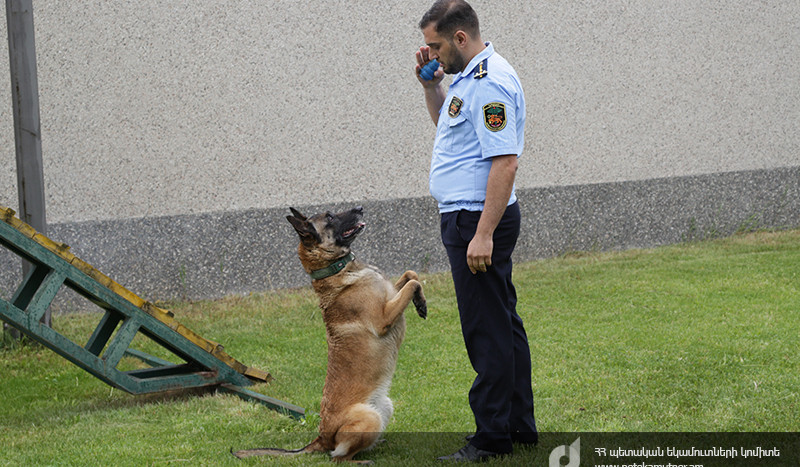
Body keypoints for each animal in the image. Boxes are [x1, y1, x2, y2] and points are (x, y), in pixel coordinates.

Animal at [233, 207, 424, 464]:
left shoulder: (393, 293)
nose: (360, 208)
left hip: (385, 407)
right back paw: (361, 460)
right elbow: (412, 283)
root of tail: (321, 438)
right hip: (369, 417)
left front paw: (421, 303)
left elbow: (411, 275)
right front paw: (420, 301)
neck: (337, 269)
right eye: (330, 217)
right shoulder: (383, 318)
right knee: (338, 458)